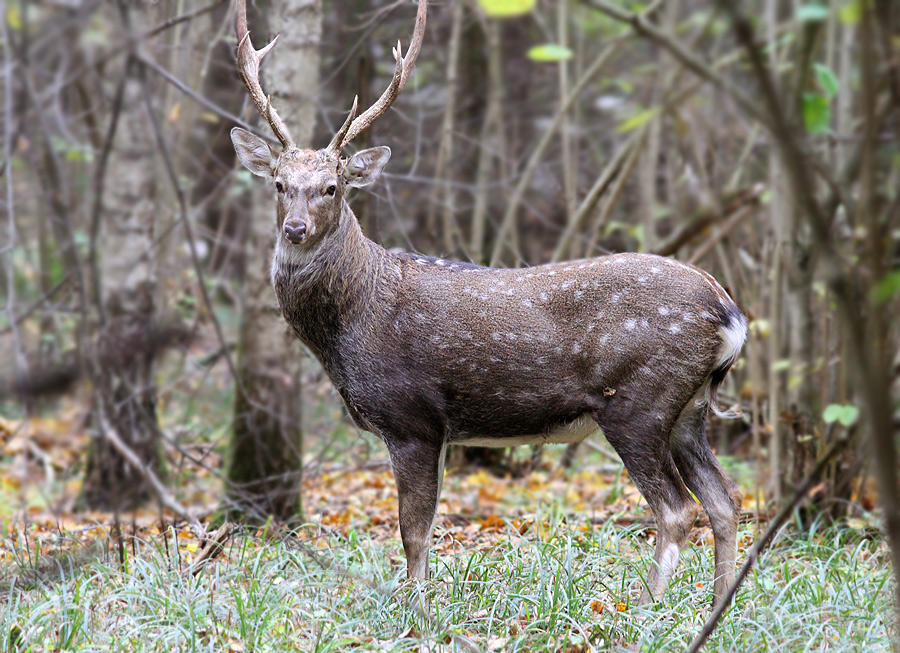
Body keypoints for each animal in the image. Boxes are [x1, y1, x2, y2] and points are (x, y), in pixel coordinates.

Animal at [230, 0, 744, 608]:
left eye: (332, 187)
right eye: (279, 183)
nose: (296, 228)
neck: (349, 324)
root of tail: (728, 311)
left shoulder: (412, 414)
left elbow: (413, 529)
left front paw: (417, 608)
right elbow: (425, 527)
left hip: (639, 400)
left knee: (677, 509)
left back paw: (645, 607)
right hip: (690, 408)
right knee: (725, 502)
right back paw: (718, 604)